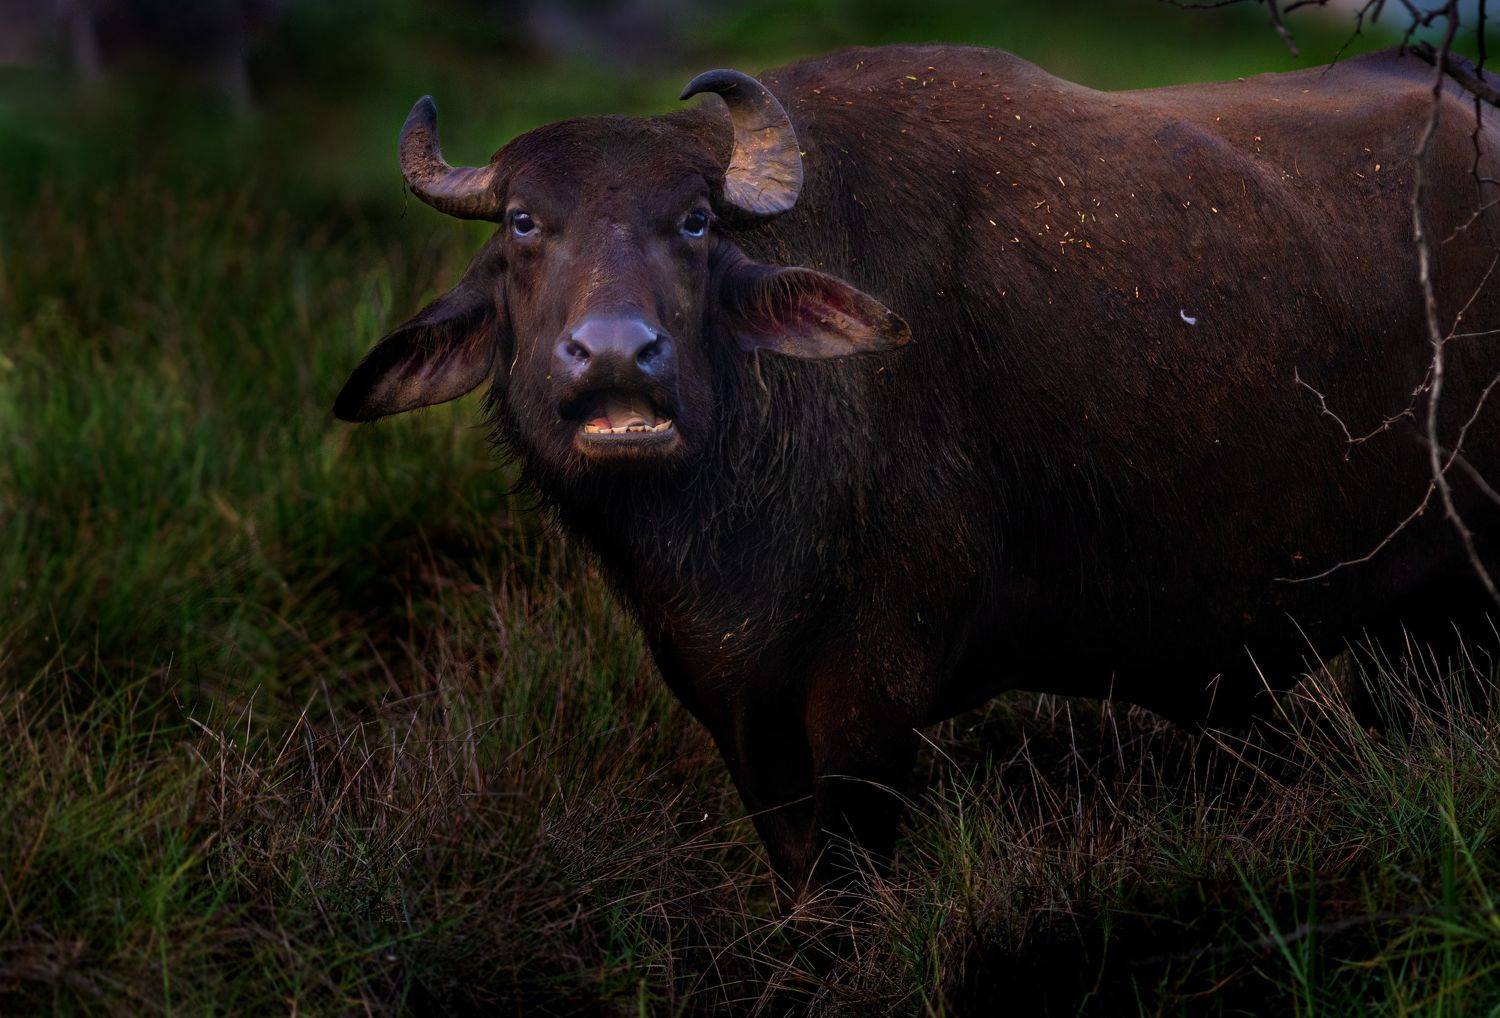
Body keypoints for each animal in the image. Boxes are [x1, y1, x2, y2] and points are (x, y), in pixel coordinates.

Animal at [335, 44, 1500, 896]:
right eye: (525, 222)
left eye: (696, 223)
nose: (618, 354)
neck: (727, 545)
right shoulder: (730, 707)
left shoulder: (869, 698)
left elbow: (850, 871)